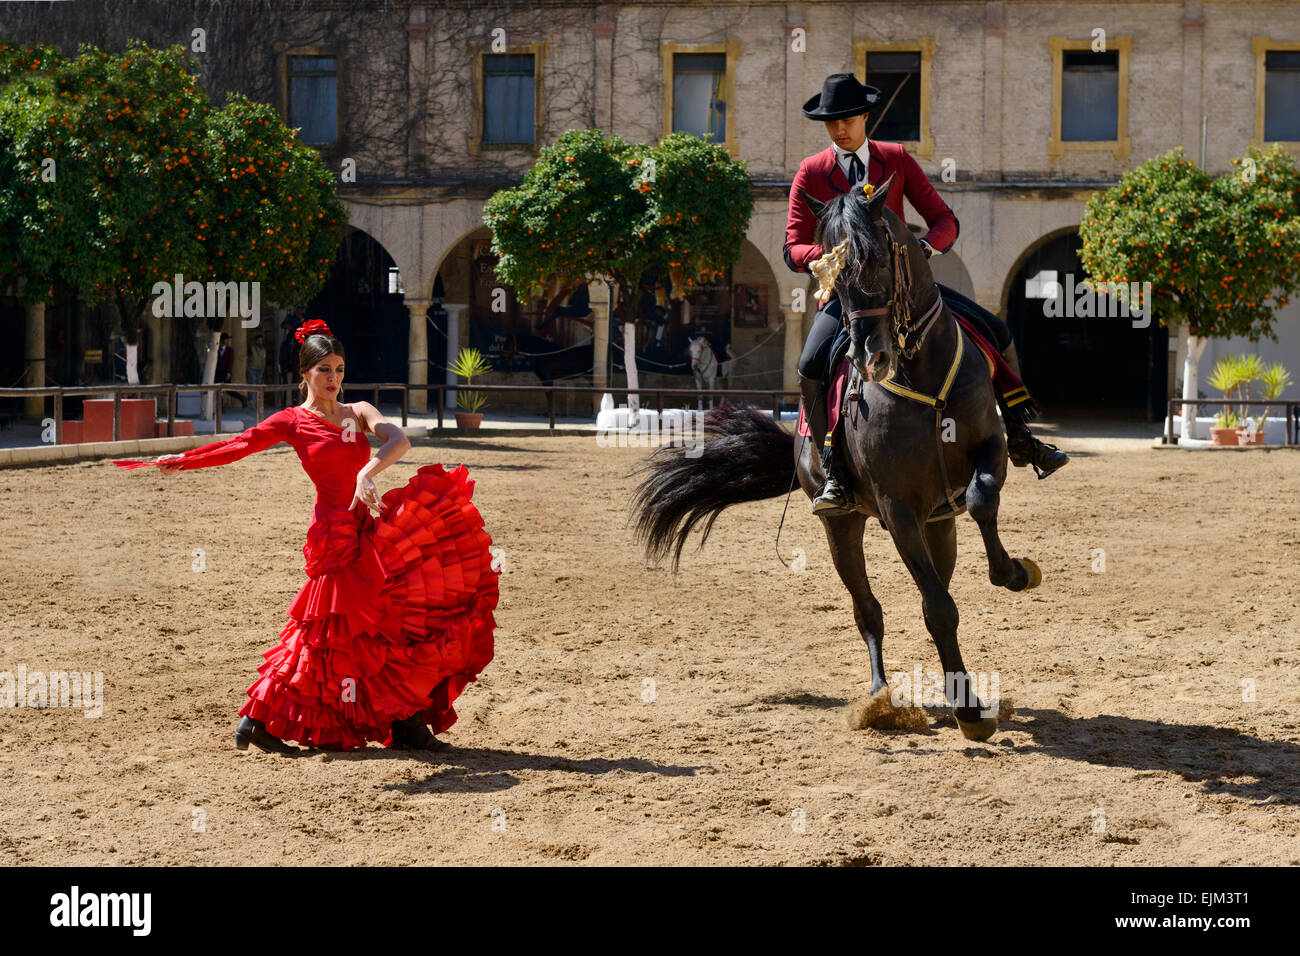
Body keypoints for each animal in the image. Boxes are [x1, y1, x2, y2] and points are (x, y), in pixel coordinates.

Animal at [634, 174, 1040, 738]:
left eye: (881, 261)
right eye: (832, 275)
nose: (870, 357)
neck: (923, 376)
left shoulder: (989, 451)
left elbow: (981, 501)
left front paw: (1015, 573)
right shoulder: (897, 507)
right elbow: (936, 607)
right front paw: (968, 713)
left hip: (940, 522)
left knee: (938, 574)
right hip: (843, 527)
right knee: (869, 608)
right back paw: (880, 697)